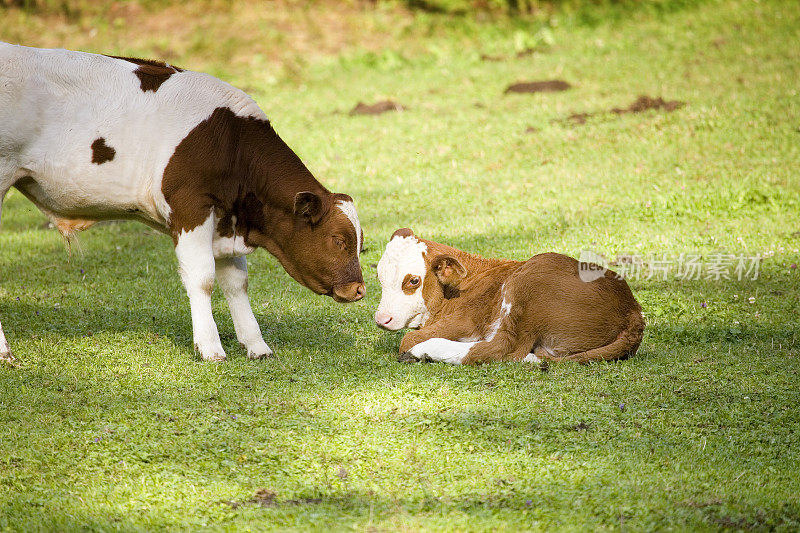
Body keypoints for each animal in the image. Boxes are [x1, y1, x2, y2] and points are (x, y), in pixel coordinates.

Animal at [0, 43, 366, 364]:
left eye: (360, 244)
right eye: (337, 240)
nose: (359, 289)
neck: (230, 141)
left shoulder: (225, 217)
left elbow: (236, 282)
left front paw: (256, 345)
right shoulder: (190, 205)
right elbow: (203, 277)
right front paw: (210, 347)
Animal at [374, 229, 644, 366]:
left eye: (413, 280)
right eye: (379, 275)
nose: (382, 319)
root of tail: (633, 311)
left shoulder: (467, 321)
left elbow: (408, 338)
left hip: (530, 282)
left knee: (502, 348)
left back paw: (424, 351)